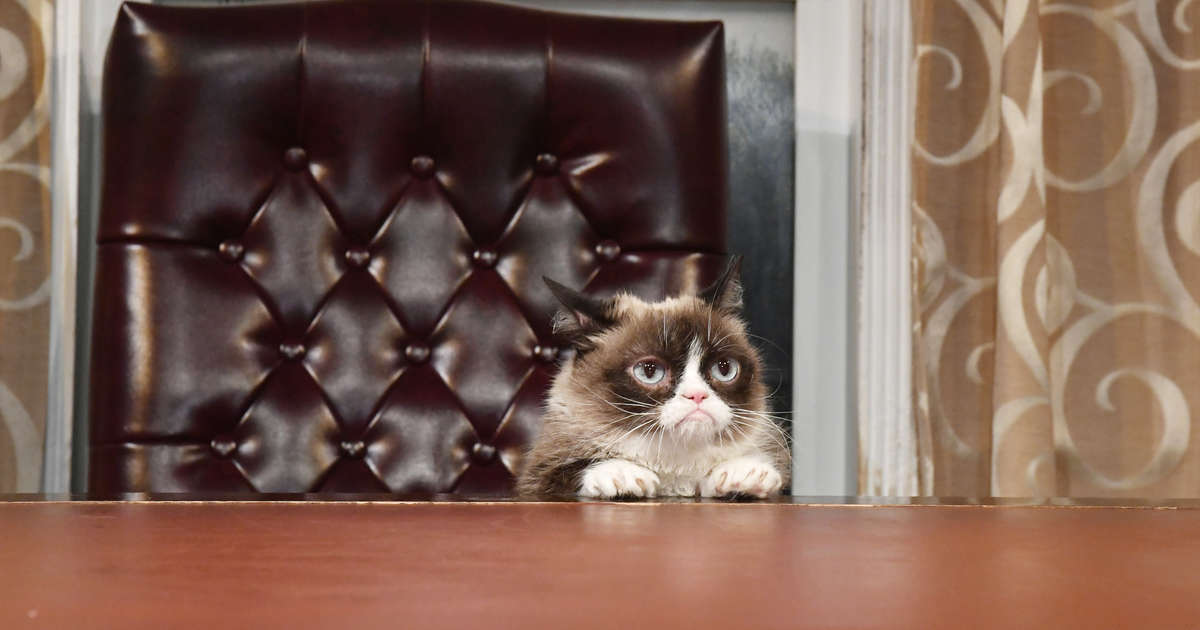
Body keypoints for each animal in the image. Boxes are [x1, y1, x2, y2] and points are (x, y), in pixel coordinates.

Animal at [517, 256, 790, 499]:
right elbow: (571, 469)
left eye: (724, 369)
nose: (696, 395)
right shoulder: (535, 478)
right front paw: (622, 473)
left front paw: (744, 472)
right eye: (649, 371)